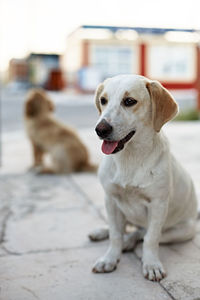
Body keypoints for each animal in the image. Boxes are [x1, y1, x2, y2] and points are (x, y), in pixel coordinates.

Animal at [89, 74, 198, 282]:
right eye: (103, 100)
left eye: (129, 101)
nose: (100, 130)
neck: (130, 159)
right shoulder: (111, 200)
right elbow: (115, 234)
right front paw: (110, 258)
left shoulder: (157, 205)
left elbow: (150, 238)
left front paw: (151, 265)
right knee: (125, 229)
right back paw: (101, 232)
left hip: (182, 230)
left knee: (140, 233)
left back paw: (128, 242)